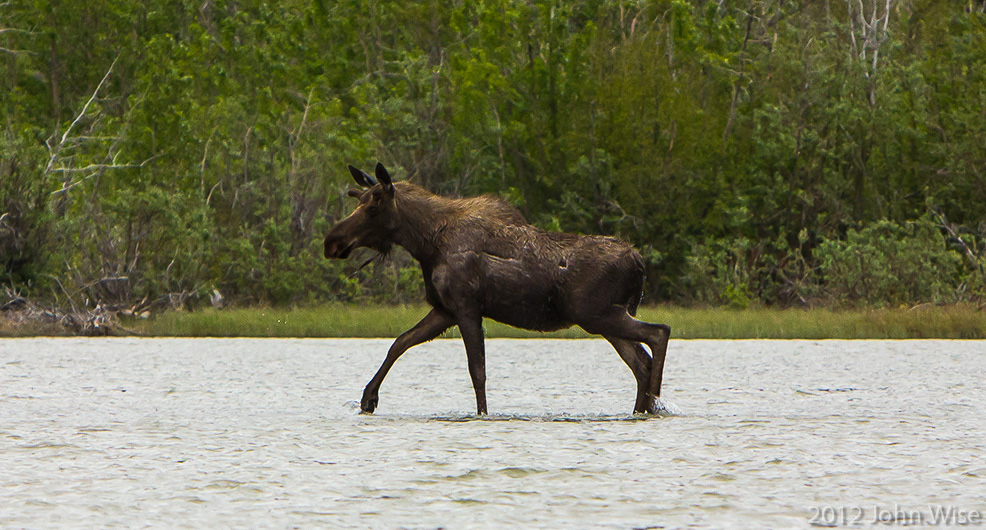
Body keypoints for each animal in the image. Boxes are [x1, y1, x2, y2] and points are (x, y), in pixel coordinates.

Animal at [322, 163, 668, 414]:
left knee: (658, 334)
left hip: (598, 315)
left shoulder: (466, 306)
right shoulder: (445, 310)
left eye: (373, 207)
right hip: (606, 319)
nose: (332, 242)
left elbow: (477, 371)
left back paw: (655, 405)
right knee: (641, 363)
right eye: (358, 201)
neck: (425, 242)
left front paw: (483, 414)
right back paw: (642, 409)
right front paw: (368, 398)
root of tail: (639, 262)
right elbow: (399, 343)